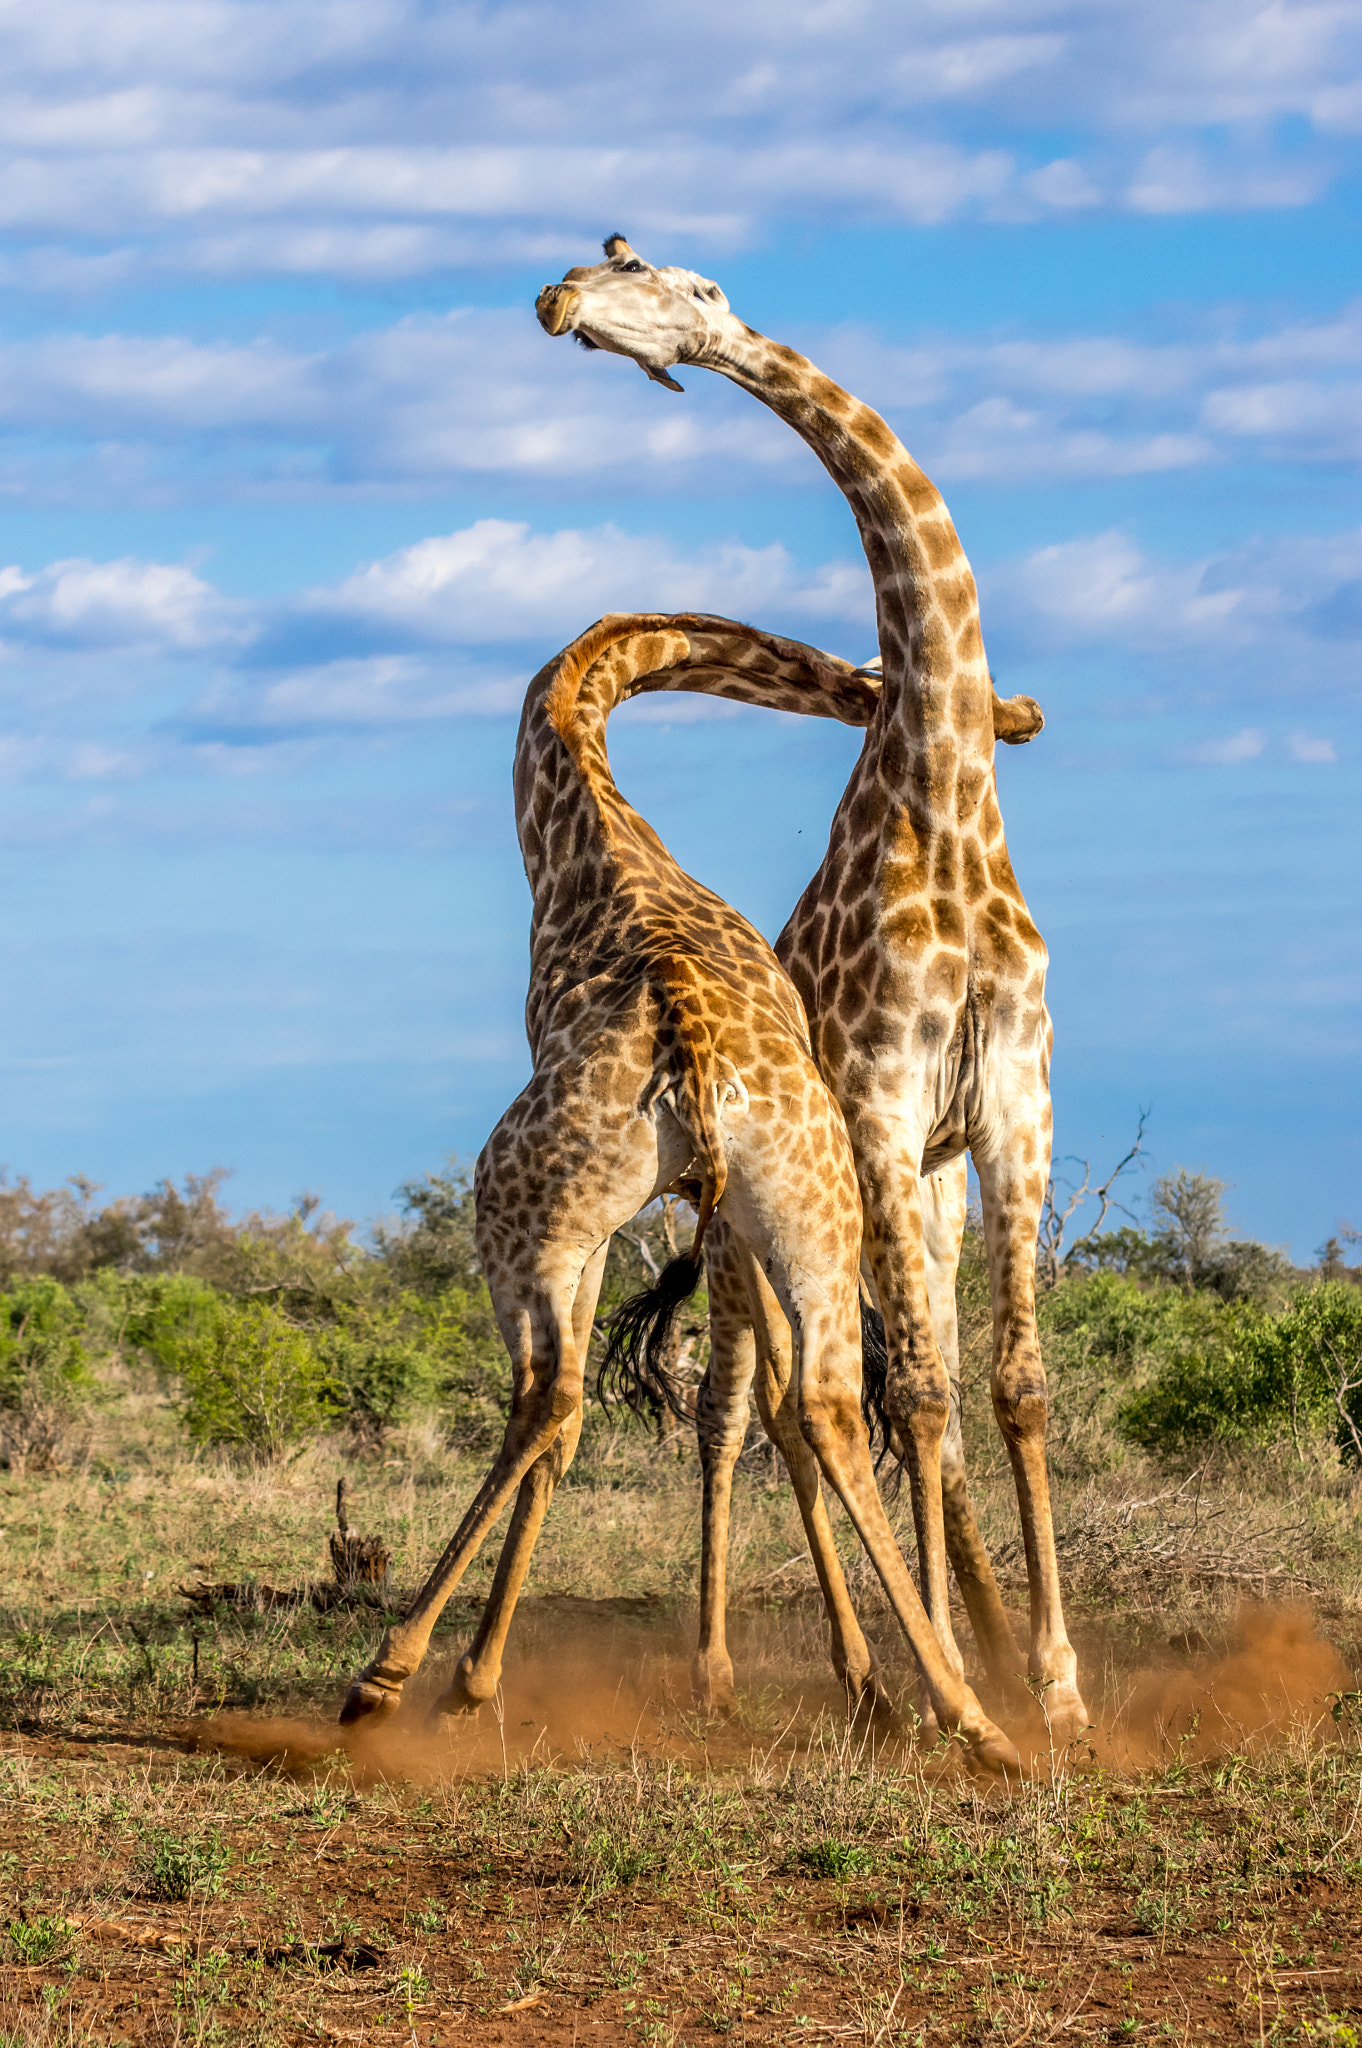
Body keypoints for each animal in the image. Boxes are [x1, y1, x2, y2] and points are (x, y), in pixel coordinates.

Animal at [337, 606, 1019, 1777]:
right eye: (866, 683)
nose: (1019, 718)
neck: (582, 814)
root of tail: (694, 1048)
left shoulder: (602, 1231)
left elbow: (576, 1422)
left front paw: (469, 1682)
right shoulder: (705, 1222)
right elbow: (759, 1407)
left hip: (520, 1210)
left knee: (547, 1394)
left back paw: (389, 1677)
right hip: (808, 1207)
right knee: (827, 1401)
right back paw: (969, 1715)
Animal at [536, 239, 1089, 1744]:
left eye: (684, 286)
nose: (559, 303)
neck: (949, 806)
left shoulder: (1011, 1108)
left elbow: (1007, 1384)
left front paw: (1055, 1683)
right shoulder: (884, 1105)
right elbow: (915, 1395)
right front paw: (959, 1668)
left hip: (913, 1199)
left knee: (883, 1386)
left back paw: (957, 1656)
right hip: (753, 1229)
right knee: (754, 1404)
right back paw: (748, 1668)